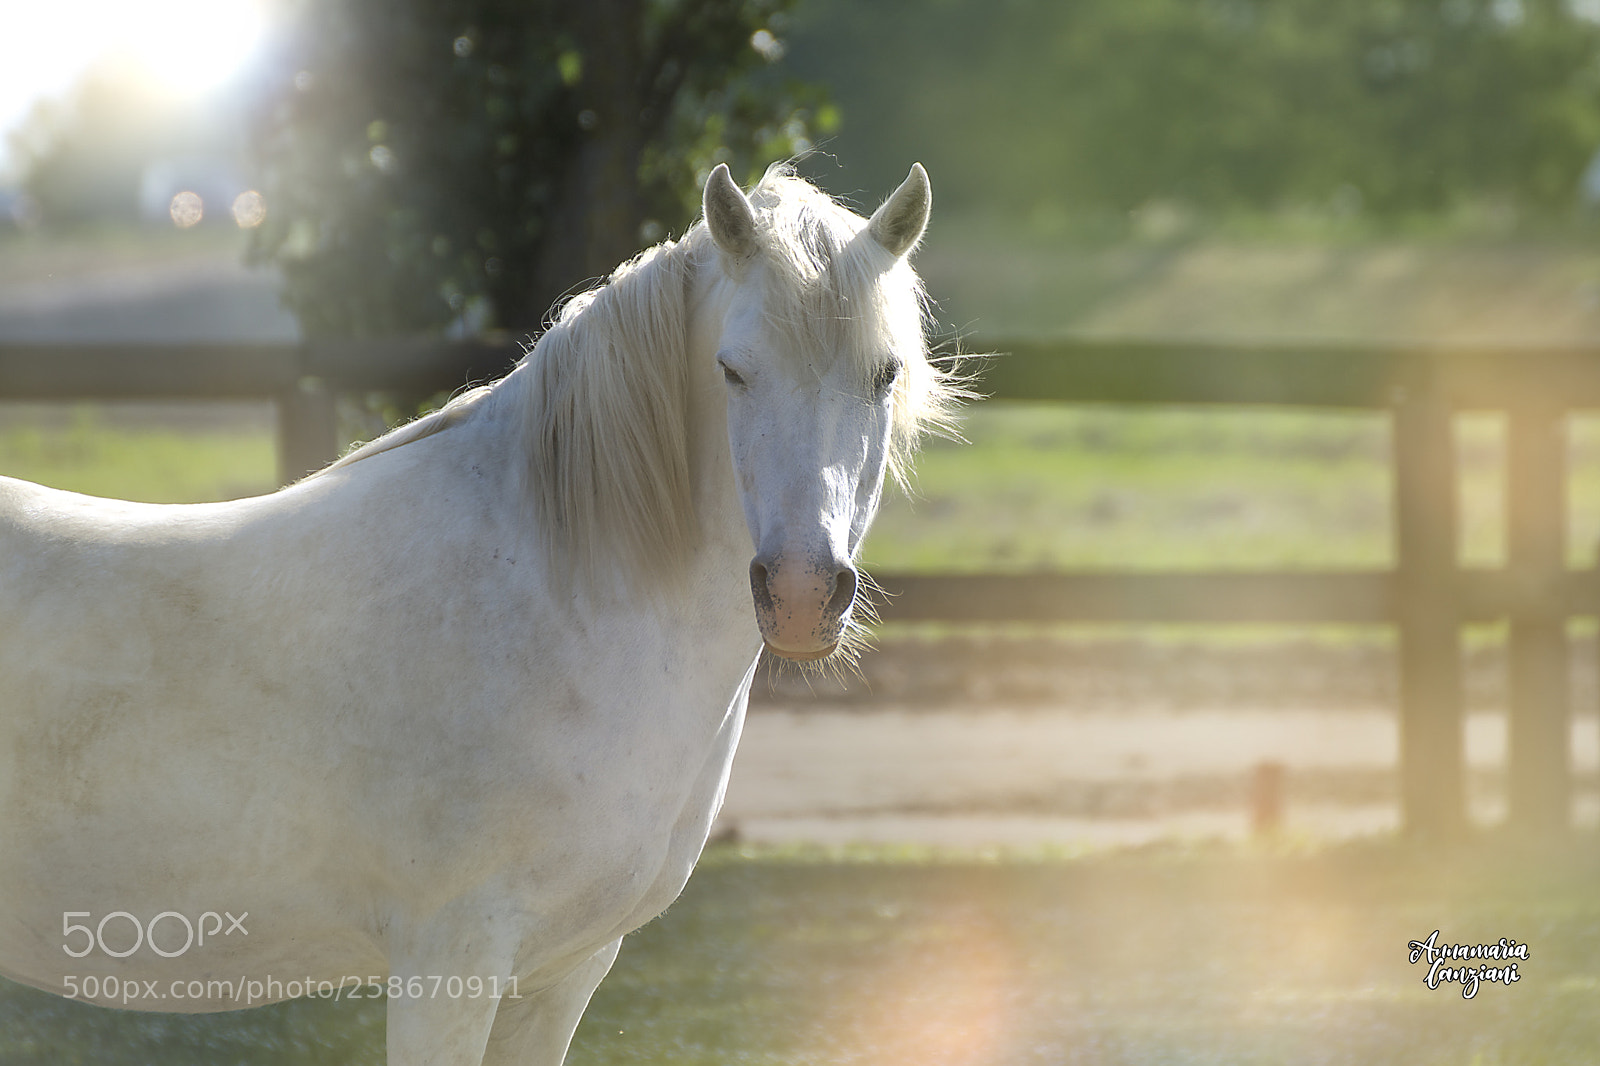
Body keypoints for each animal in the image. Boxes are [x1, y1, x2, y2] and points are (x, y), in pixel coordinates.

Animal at [0, 162, 958, 1065]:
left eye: (885, 374)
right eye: (732, 369)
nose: (800, 593)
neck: (557, 595)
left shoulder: (563, 972)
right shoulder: (449, 964)